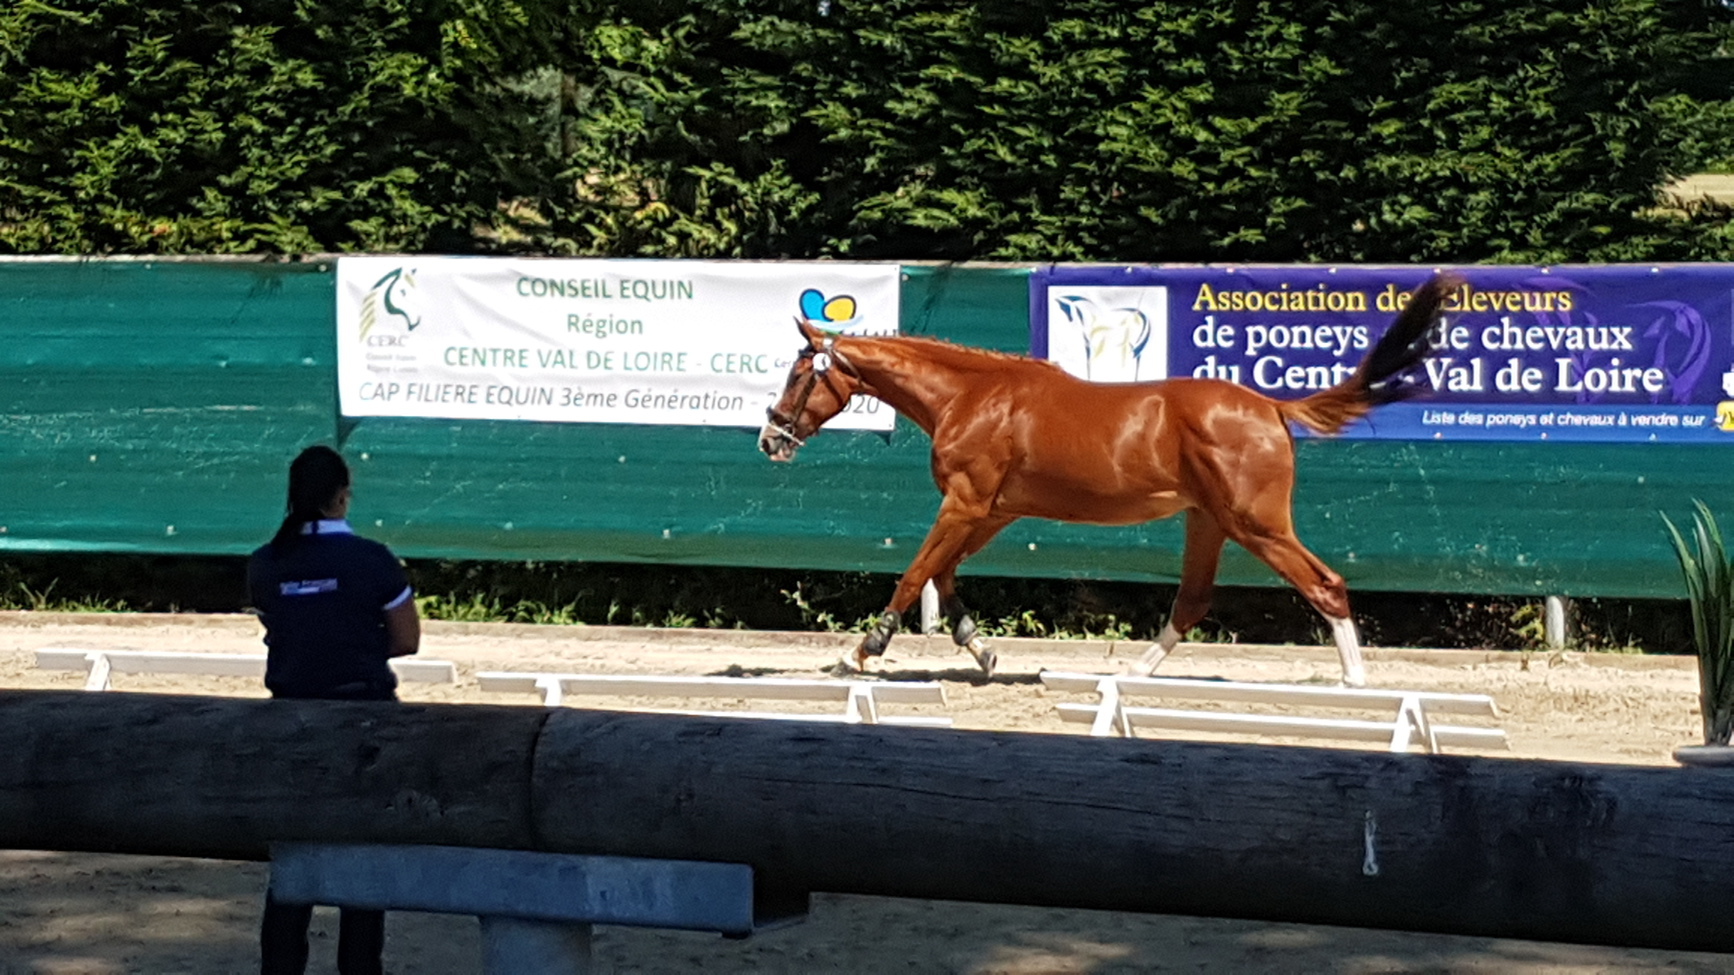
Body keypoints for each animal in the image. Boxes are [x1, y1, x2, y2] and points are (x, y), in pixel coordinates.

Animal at [759, 274, 1449, 683]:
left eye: (797, 375)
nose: (771, 438)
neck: (971, 396)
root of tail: (1268, 405)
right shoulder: (992, 510)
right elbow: (945, 573)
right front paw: (979, 647)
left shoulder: (966, 503)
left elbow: (915, 571)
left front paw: (861, 650)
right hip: (1209, 521)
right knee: (1193, 600)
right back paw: (1130, 675)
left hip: (1255, 523)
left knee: (1325, 585)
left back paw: (1356, 681)